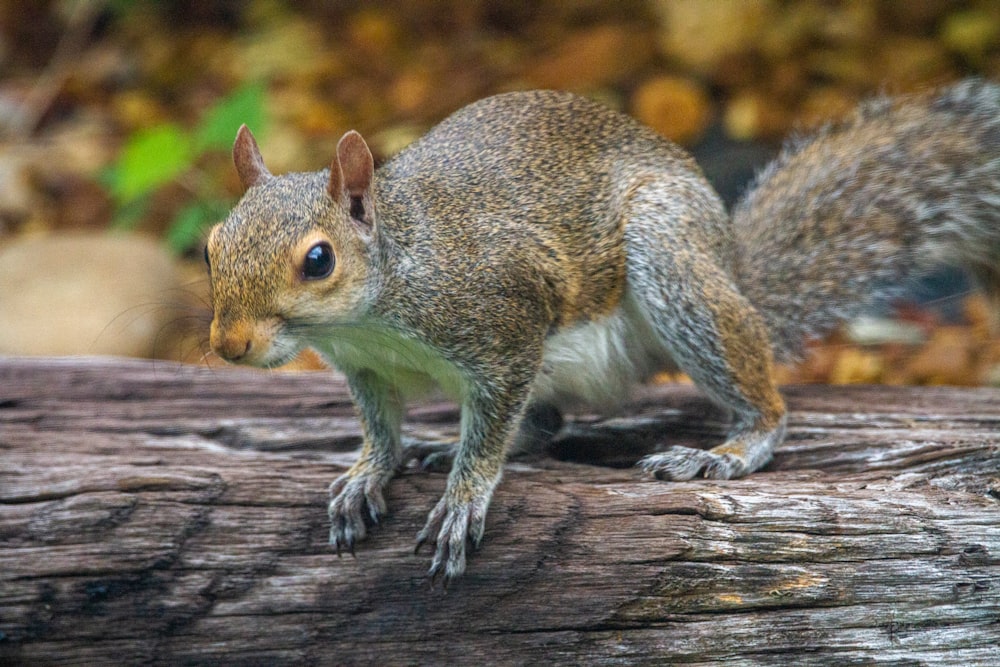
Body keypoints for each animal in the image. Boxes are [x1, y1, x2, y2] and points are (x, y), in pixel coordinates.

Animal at [205, 77, 1000, 580]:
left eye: (318, 259)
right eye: (213, 244)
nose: (227, 346)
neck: (381, 303)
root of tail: (731, 264)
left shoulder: (504, 324)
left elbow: (493, 425)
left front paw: (464, 497)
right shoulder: (368, 370)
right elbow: (380, 427)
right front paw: (370, 471)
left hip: (673, 266)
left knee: (763, 402)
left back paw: (726, 451)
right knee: (546, 422)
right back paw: (443, 446)